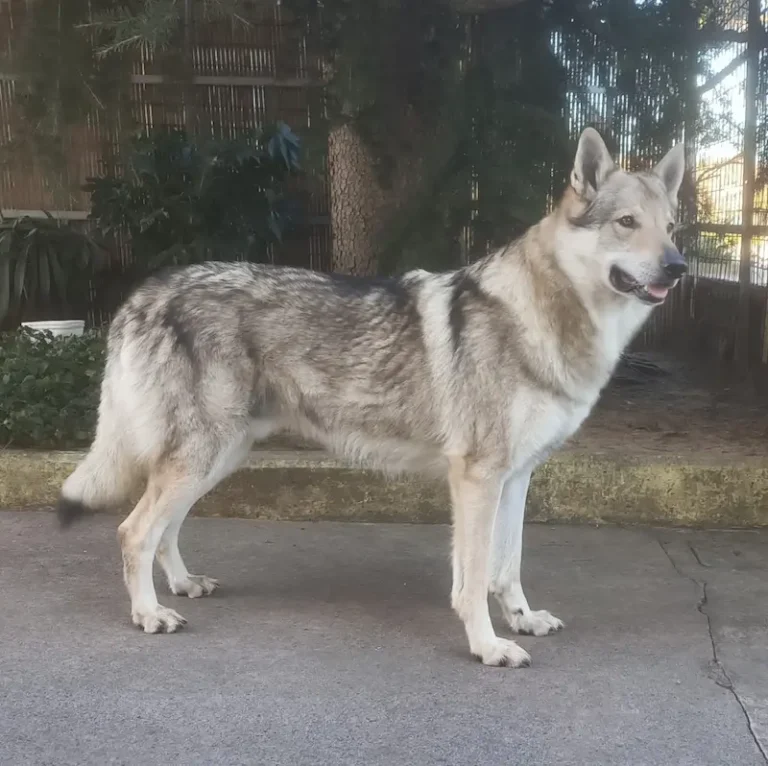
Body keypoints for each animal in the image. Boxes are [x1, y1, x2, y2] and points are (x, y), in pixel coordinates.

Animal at [57, 127, 686, 667]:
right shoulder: (478, 478)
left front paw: (523, 620)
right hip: (202, 455)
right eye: (627, 222)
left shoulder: (516, 477)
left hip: (216, 458)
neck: (545, 315)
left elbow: (507, 567)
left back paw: (184, 586)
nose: (678, 267)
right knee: (134, 531)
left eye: (672, 227)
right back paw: (149, 614)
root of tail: (145, 292)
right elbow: (473, 579)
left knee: (166, 528)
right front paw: (488, 646)